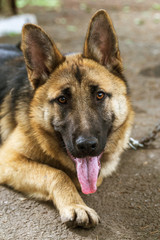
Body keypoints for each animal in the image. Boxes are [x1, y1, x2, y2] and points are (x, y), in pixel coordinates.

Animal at [0, 9, 134, 227]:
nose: (86, 146)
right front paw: (75, 205)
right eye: (62, 99)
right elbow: (57, 173)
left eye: (99, 95)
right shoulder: (8, 159)